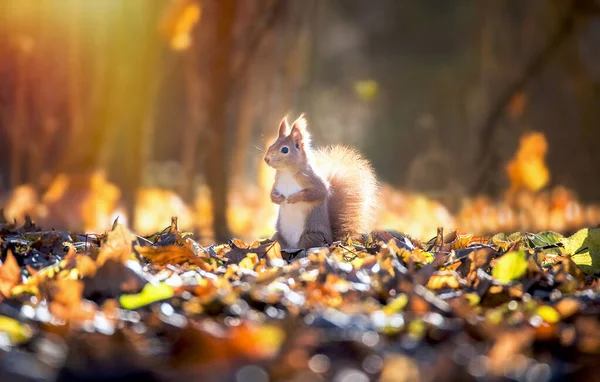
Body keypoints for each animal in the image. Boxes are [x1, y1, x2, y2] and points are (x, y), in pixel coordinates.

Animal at [264, 115, 378, 249]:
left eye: (285, 150)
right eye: (272, 145)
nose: (266, 159)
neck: (287, 172)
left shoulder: (313, 180)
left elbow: (319, 193)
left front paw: (294, 198)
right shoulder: (277, 182)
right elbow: (272, 193)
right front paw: (277, 198)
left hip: (311, 236)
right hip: (278, 237)